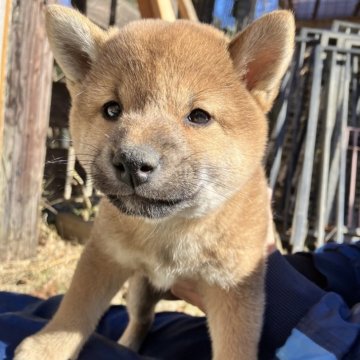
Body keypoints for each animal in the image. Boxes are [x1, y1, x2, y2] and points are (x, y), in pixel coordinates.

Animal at [14, 5, 296, 360]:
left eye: (199, 116)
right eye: (112, 109)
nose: (132, 163)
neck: (172, 231)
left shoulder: (234, 289)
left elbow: (236, 348)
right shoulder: (104, 254)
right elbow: (75, 308)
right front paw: (47, 348)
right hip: (139, 289)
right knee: (142, 320)